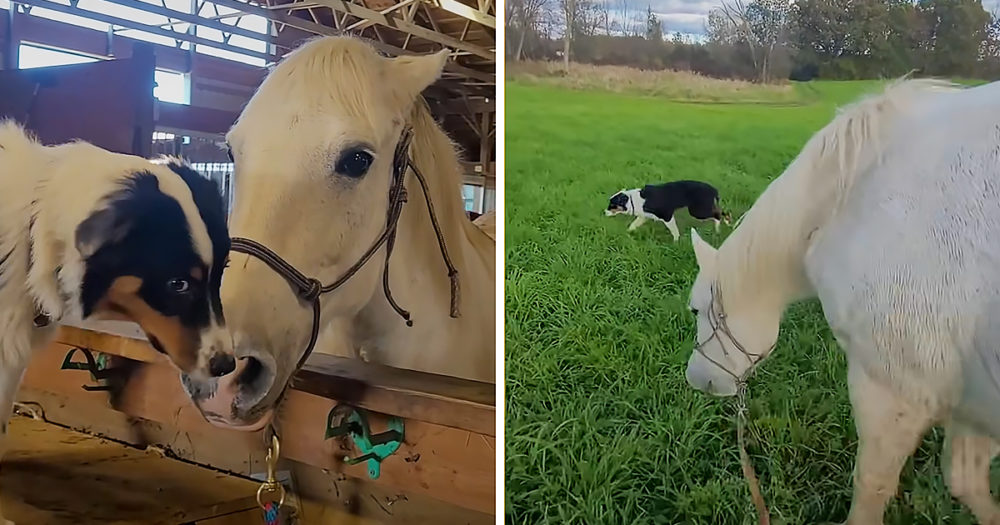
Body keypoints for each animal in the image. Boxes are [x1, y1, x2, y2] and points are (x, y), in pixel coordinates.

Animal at [684, 78, 1000, 524]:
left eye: (696, 309)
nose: (697, 379)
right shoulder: (976, 400)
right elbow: (966, 481)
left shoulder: (892, 387)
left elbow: (873, 487)